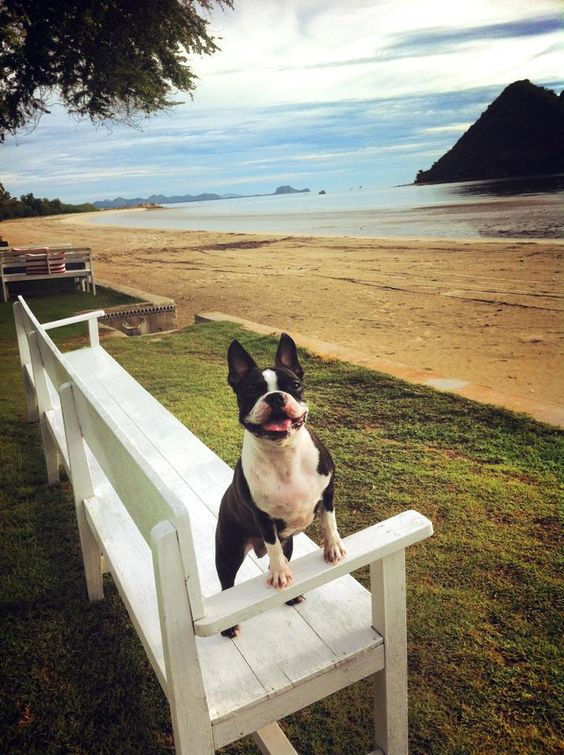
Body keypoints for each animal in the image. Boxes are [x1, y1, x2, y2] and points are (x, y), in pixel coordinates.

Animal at [216, 334, 346, 636]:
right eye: (251, 391)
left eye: (294, 386)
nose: (275, 397)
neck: (284, 454)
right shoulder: (262, 517)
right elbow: (272, 543)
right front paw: (279, 573)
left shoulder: (328, 490)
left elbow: (329, 520)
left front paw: (333, 546)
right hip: (227, 551)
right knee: (227, 583)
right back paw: (229, 626)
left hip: (289, 543)